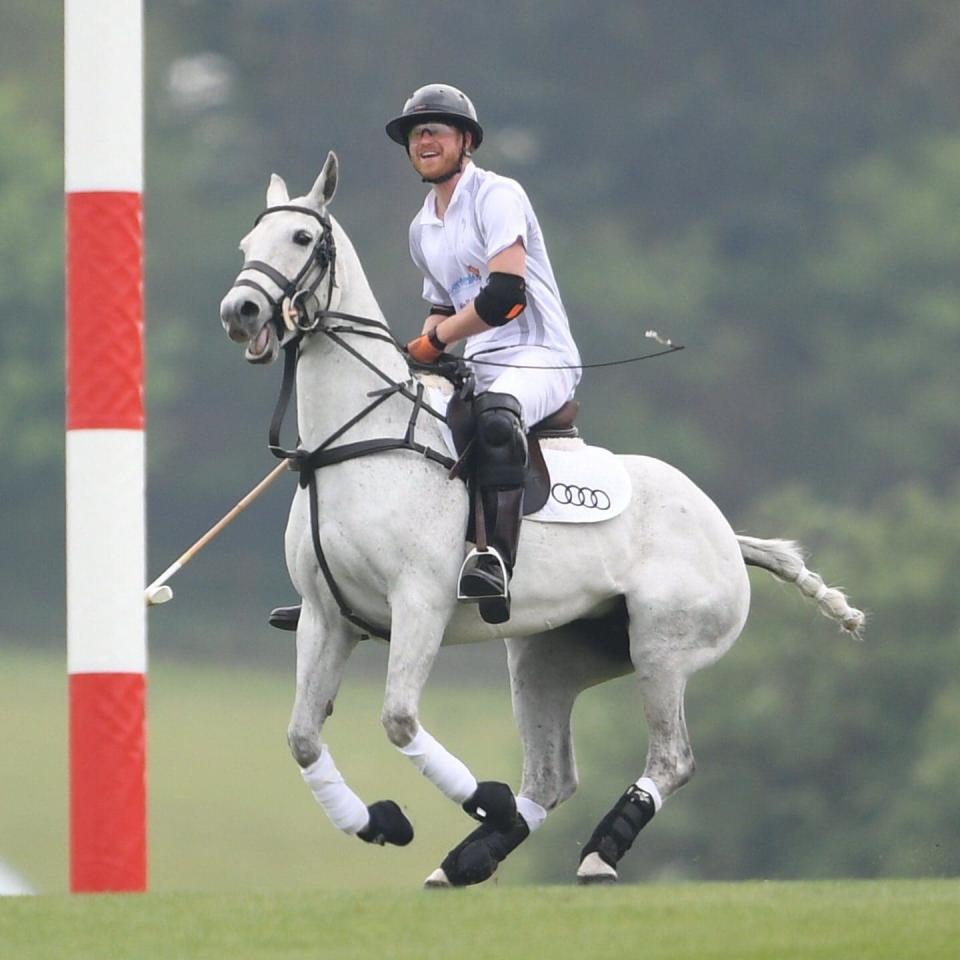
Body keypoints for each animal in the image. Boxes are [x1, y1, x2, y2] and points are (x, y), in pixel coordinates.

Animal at [221, 156, 868, 884]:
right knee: (553, 776)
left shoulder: (418, 603)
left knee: (671, 760)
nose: (240, 311)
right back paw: (470, 857)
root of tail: (725, 533)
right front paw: (383, 822)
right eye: (247, 245)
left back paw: (596, 853)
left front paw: (480, 801)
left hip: (663, 647)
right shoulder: (325, 615)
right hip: (547, 656)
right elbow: (303, 738)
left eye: (303, 238)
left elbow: (399, 720)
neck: (356, 441)